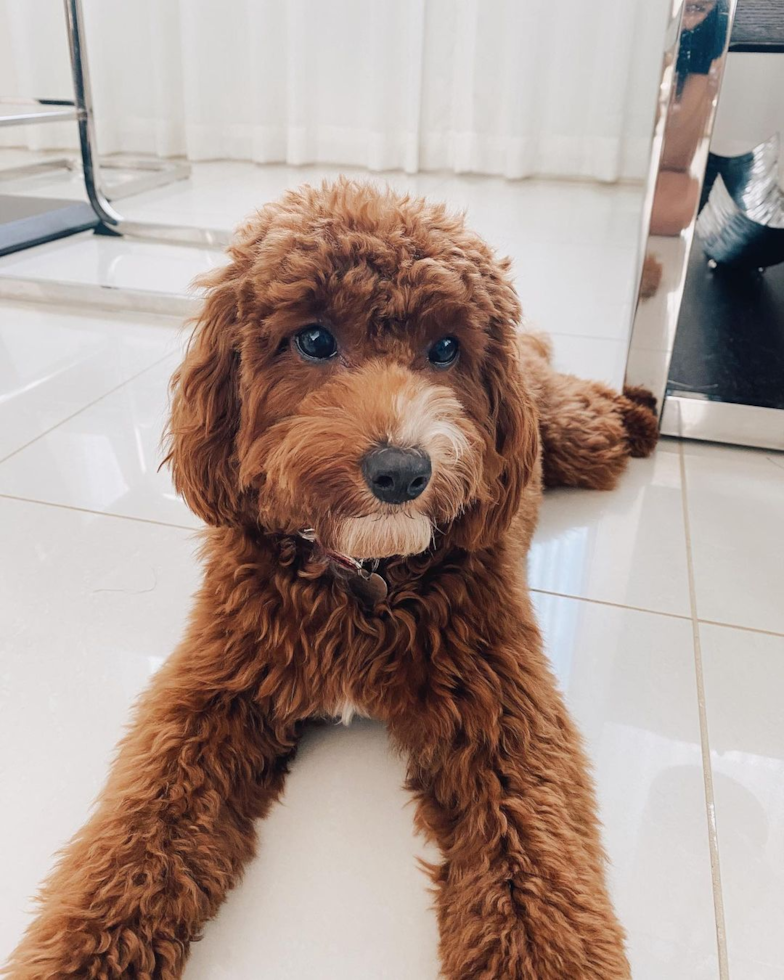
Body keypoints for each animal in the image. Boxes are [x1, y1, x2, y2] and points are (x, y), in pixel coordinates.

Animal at [3, 180, 660, 976]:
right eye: (314, 339)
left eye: (446, 348)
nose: (402, 472)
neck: (363, 578)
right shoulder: (213, 691)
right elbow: (140, 832)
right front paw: (79, 950)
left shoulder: (503, 714)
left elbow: (535, 857)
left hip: (566, 433)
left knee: (591, 410)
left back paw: (641, 409)